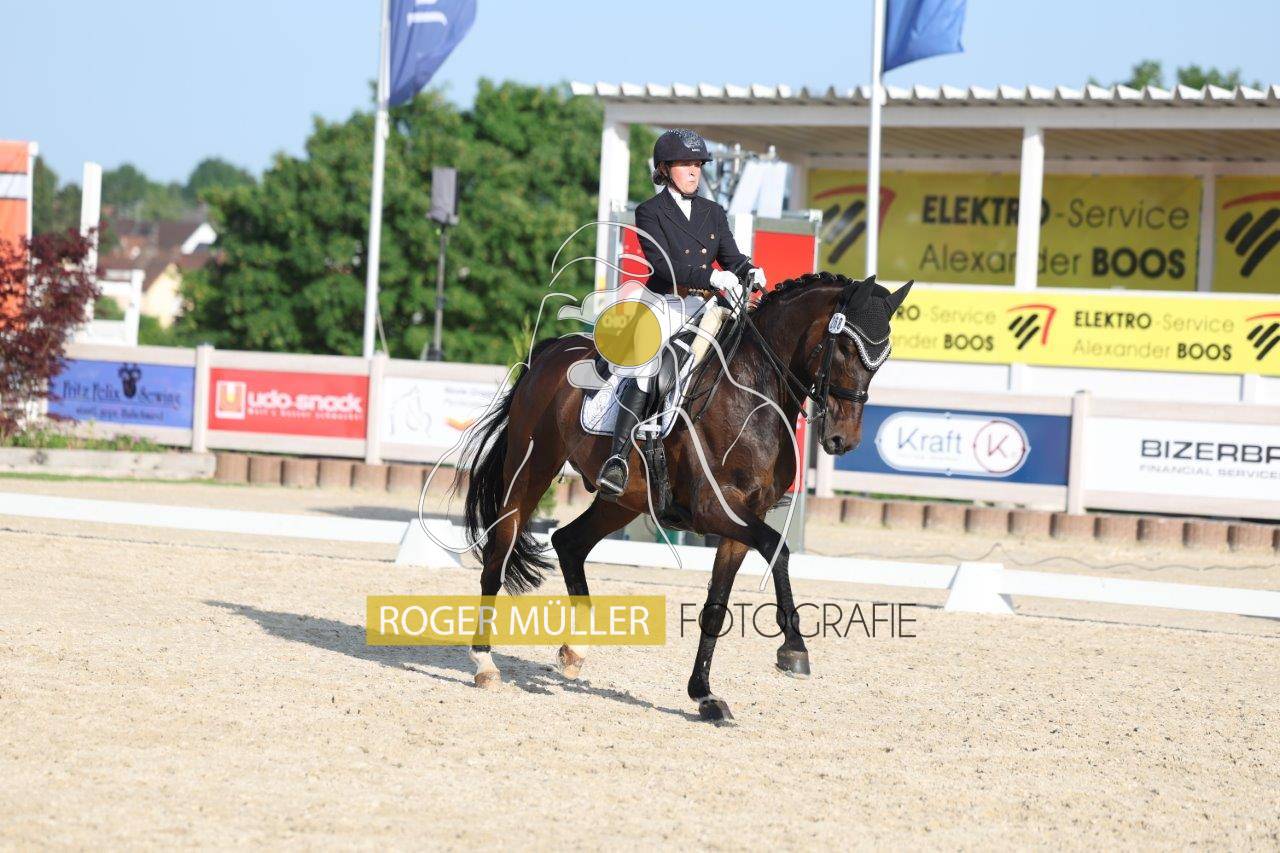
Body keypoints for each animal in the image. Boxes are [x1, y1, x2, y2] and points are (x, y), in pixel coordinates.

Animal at [460, 272, 913, 720]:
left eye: (882, 357)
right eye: (846, 347)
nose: (843, 441)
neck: (755, 391)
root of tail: (552, 351)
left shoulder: (740, 522)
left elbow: (716, 605)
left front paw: (704, 696)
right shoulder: (715, 508)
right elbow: (777, 549)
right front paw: (793, 650)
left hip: (623, 502)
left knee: (568, 542)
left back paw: (575, 651)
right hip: (531, 469)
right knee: (501, 548)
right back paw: (485, 663)